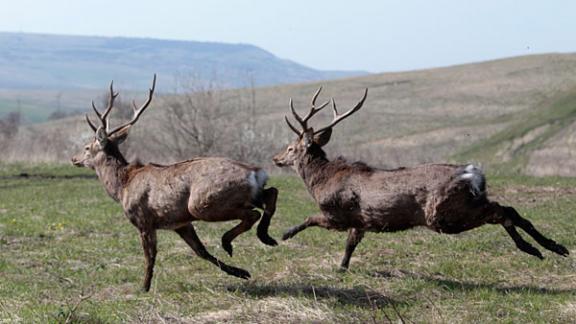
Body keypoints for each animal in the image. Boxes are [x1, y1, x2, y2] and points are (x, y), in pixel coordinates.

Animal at [72, 75, 280, 292]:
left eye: (87, 147)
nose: (74, 159)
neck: (122, 187)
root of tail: (255, 172)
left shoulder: (143, 220)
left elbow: (150, 256)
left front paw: (144, 287)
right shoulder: (180, 223)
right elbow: (201, 251)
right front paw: (241, 272)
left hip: (202, 204)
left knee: (253, 213)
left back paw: (228, 242)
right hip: (244, 195)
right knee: (271, 193)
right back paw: (265, 237)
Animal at [272, 86, 568, 270]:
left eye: (290, 148)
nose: (275, 159)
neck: (320, 181)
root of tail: (473, 173)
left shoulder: (338, 213)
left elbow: (311, 219)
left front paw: (285, 234)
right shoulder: (361, 220)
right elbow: (350, 245)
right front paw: (342, 267)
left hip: (443, 214)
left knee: (500, 211)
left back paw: (536, 248)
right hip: (462, 205)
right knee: (509, 209)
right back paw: (551, 247)